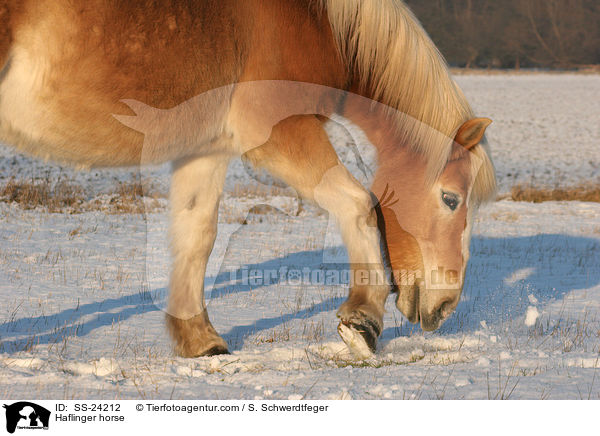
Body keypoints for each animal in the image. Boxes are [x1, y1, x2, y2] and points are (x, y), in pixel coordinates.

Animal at [0, 0, 496, 358]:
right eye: (451, 199)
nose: (446, 305)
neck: (316, 20)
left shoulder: (206, 148)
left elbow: (197, 236)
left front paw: (200, 340)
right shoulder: (281, 134)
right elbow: (357, 205)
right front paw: (363, 321)